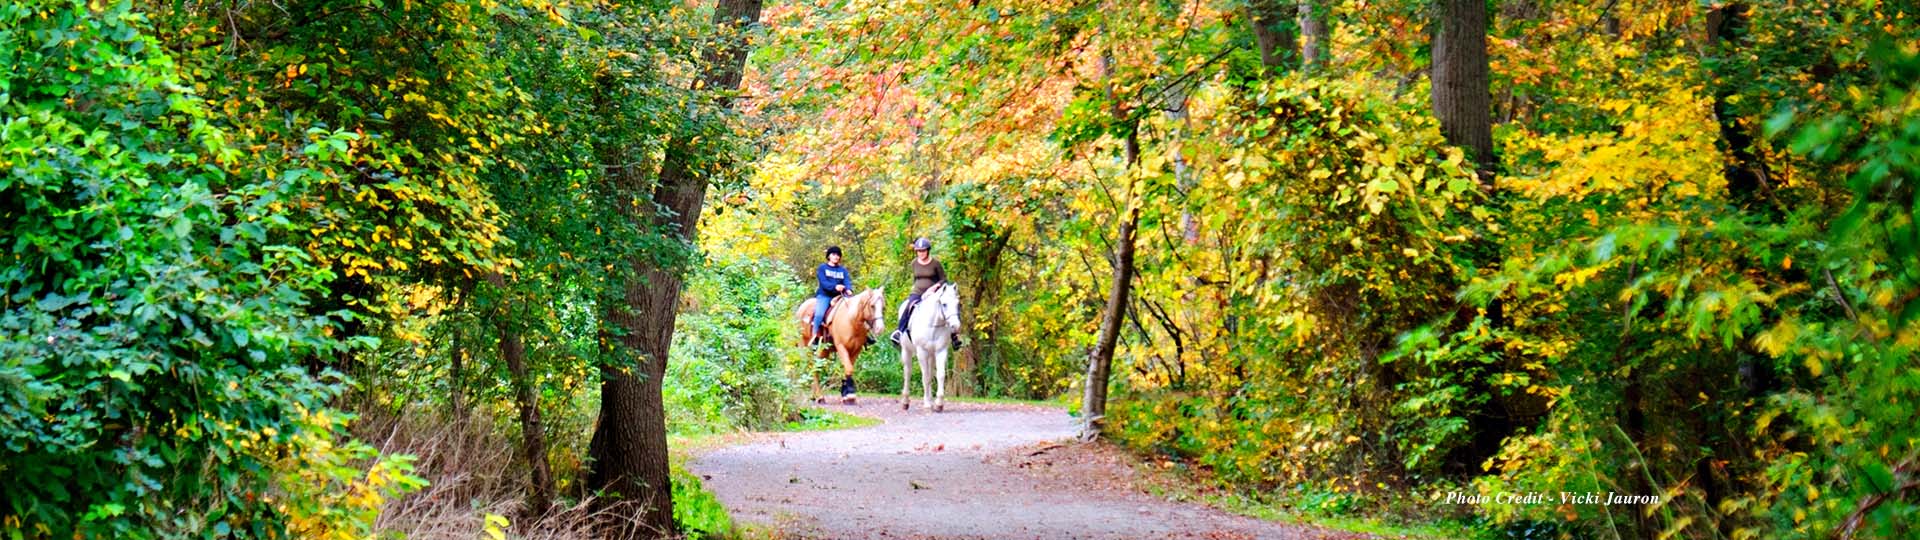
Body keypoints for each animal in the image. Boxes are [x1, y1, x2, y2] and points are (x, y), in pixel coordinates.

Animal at [898, 278, 960, 409]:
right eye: (944, 304)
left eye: (958, 304)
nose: (955, 326)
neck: (933, 324)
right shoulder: (922, 352)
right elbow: (925, 376)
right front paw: (926, 403)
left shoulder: (941, 351)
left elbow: (940, 375)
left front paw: (939, 403)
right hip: (906, 351)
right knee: (907, 373)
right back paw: (905, 401)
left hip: (931, 355)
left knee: (931, 373)